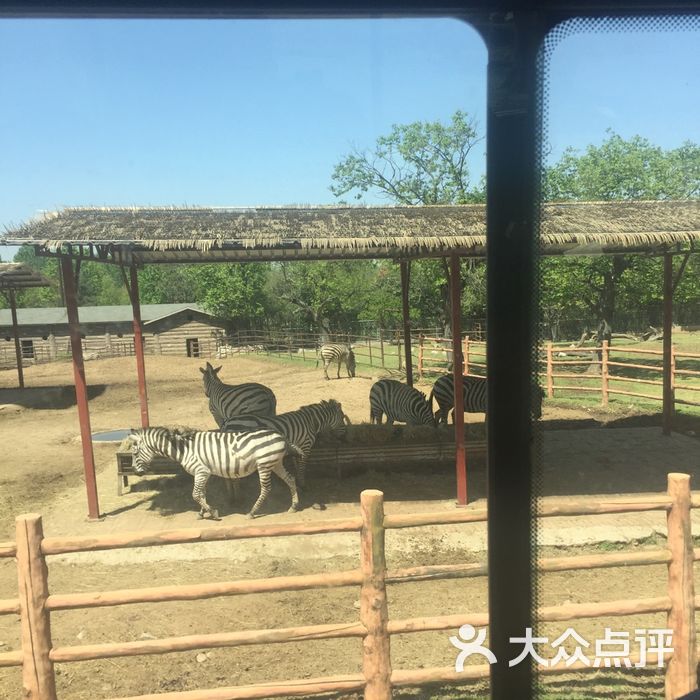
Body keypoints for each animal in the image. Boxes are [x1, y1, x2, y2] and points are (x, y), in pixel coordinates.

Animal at [127, 426, 302, 520]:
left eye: (135, 453)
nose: (135, 472)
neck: (184, 449)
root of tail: (281, 436)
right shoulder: (201, 473)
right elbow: (201, 494)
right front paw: (202, 513)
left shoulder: (201, 471)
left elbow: (195, 494)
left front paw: (213, 513)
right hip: (275, 463)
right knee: (291, 479)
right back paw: (293, 506)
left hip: (264, 464)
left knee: (266, 489)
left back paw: (252, 512)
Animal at [221, 400, 350, 486]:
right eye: (342, 418)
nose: (344, 438)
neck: (312, 422)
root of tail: (227, 422)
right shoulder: (306, 445)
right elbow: (302, 464)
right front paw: (302, 483)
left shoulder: (296, 444)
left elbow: (296, 462)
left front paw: (298, 478)